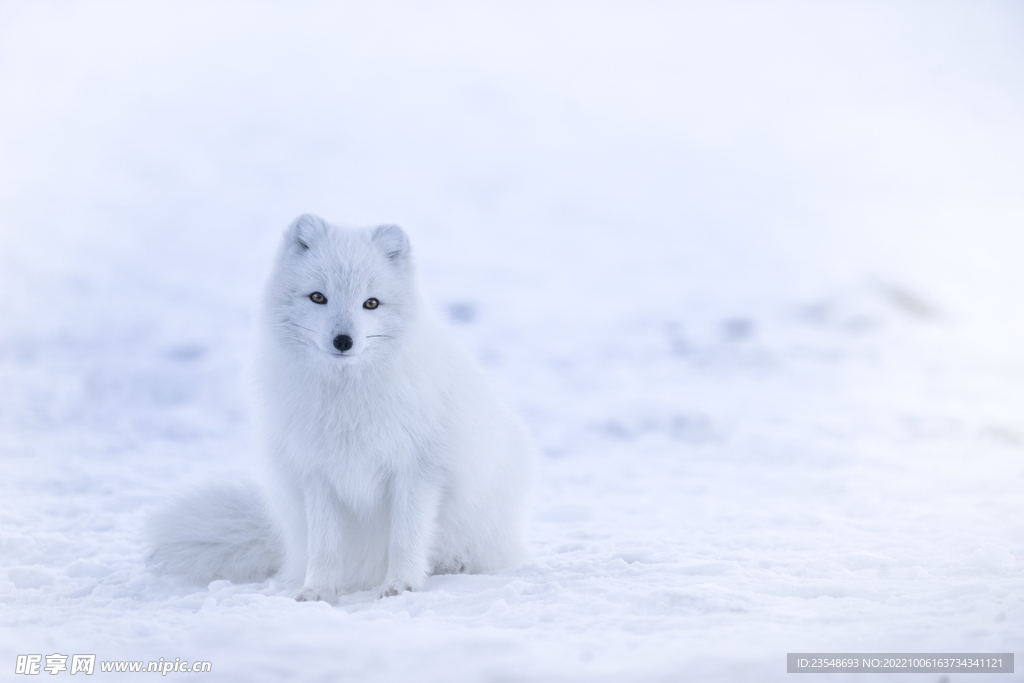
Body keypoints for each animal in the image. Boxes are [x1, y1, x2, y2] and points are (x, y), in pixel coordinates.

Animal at [151, 216, 536, 602]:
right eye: (318, 297)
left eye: (371, 303)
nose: (343, 341)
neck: (347, 399)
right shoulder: (317, 474)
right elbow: (325, 545)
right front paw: (318, 590)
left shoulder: (418, 471)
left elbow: (406, 538)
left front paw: (401, 585)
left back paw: (452, 564)